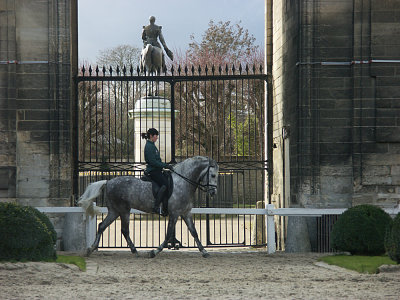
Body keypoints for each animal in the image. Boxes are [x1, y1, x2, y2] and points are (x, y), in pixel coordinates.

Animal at [77, 156, 219, 256]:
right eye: (213, 175)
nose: (213, 193)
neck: (183, 182)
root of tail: (108, 181)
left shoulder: (186, 213)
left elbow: (194, 232)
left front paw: (204, 251)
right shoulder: (174, 213)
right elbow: (168, 234)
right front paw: (154, 252)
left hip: (115, 211)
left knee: (102, 226)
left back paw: (91, 249)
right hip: (123, 210)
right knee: (124, 230)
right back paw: (134, 250)